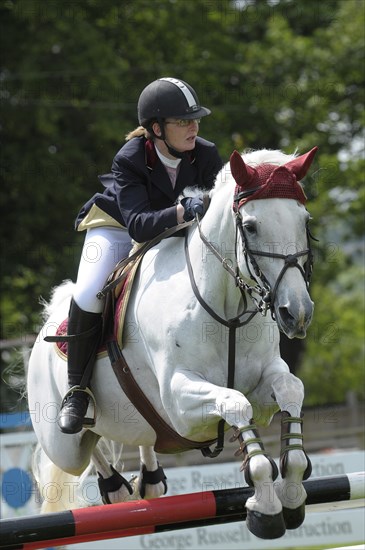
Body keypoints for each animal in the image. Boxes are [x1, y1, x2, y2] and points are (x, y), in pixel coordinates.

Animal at [27, 147, 316, 544]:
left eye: (304, 221)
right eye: (251, 226)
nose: (297, 313)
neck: (226, 308)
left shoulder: (265, 382)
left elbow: (290, 389)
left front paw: (291, 494)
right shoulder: (181, 402)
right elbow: (234, 403)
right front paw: (267, 509)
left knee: (140, 438)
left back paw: (148, 480)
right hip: (62, 442)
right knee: (84, 443)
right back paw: (111, 479)